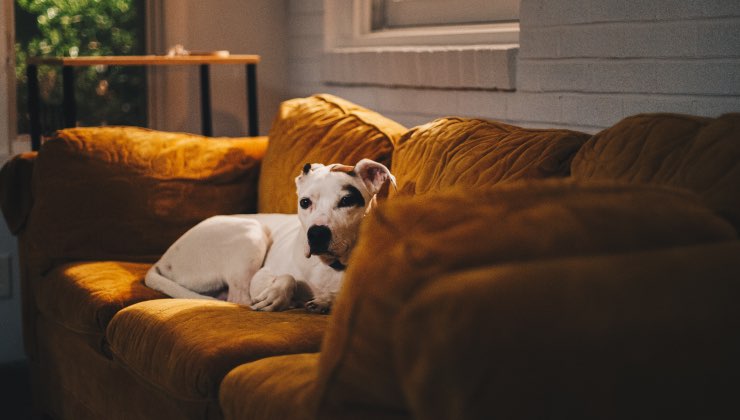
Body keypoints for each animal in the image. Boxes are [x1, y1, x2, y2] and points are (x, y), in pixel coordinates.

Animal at [147, 159, 396, 314]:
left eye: (346, 201)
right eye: (305, 202)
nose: (316, 233)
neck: (331, 267)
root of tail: (163, 260)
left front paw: (326, 300)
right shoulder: (261, 276)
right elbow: (287, 277)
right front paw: (277, 295)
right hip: (251, 233)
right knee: (239, 297)